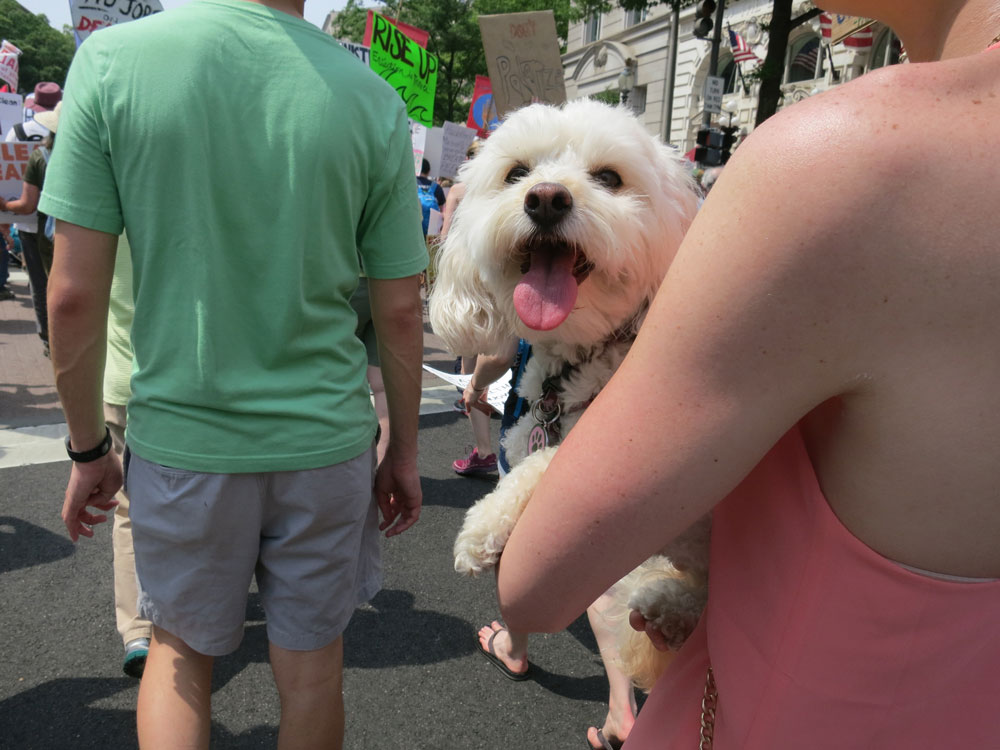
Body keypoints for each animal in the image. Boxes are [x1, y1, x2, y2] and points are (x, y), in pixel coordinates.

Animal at [432, 100, 712, 692]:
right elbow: (527, 456)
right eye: (517, 173)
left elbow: (548, 462)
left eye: (609, 178)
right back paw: (666, 608)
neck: (577, 365)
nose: (545, 198)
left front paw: (483, 527)